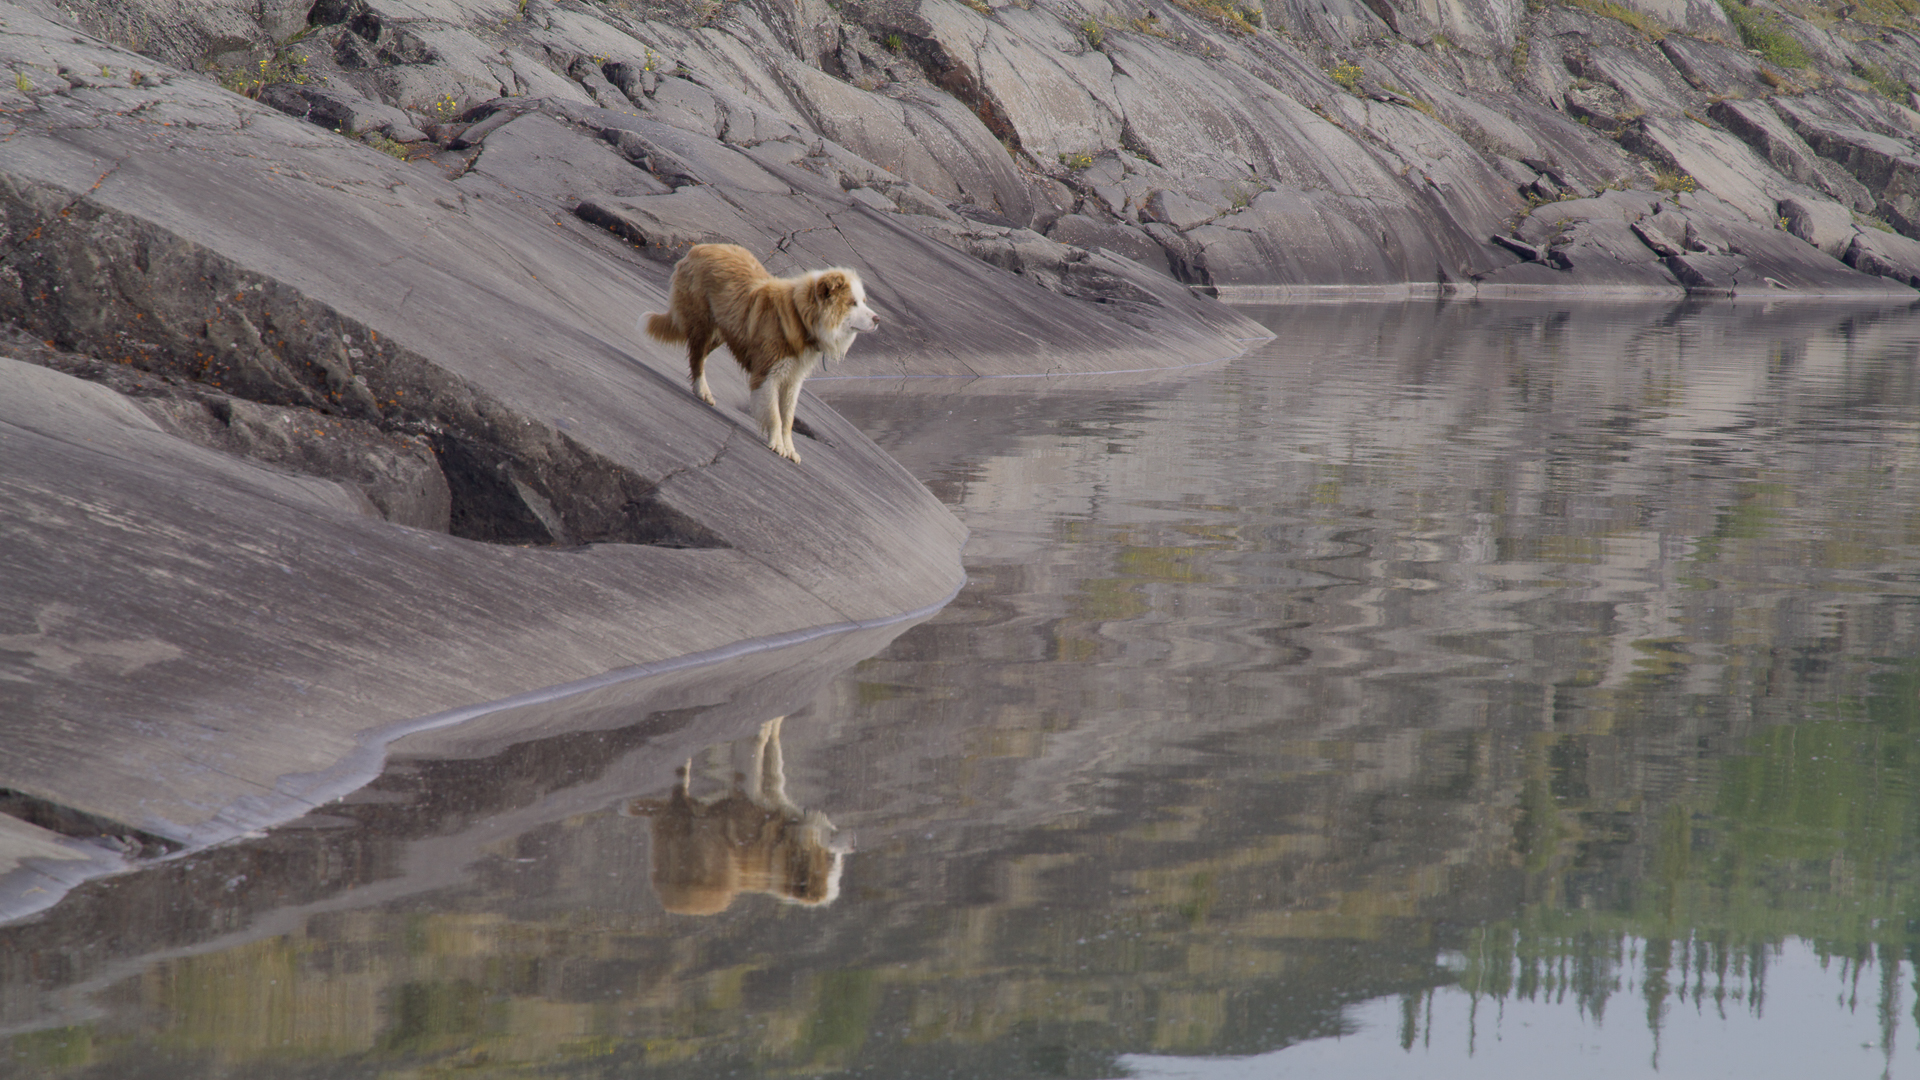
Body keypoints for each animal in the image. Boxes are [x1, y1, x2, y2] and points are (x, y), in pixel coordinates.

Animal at [645, 242, 883, 461]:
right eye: (852, 303)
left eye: (863, 301)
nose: (878, 319)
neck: (801, 318)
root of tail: (700, 247)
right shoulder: (769, 372)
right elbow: (775, 414)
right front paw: (777, 445)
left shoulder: (793, 380)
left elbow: (788, 418)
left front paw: (790, 449)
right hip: (703, 325)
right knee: (696, 358)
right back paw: (702, 390)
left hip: (719, 334)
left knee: (699, 356)